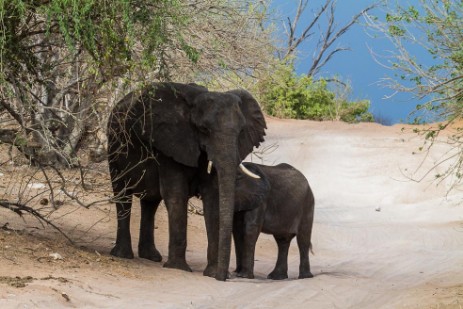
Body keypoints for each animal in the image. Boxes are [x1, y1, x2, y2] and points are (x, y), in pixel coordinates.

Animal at [107, 82, 266, 280]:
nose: (224, 277)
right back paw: (123, 254)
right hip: (114, 147)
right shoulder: (170, 143)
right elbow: (176, 194)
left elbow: (213, 199)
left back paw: (151, 257)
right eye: (204, 129)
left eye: (240, 132)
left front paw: (211, 273)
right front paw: (178, 268)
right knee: (122, 194)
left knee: (150, 203)